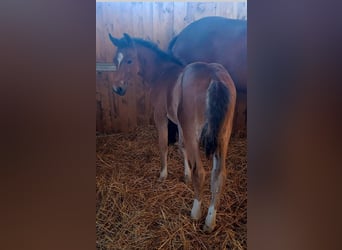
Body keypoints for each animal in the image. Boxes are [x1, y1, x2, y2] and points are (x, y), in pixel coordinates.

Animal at [109, 33, 235, 232]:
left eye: (129, 60)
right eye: (115, 60)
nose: (117, 88)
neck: (162, 73)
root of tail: (215, 77)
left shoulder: (161, 116)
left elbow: (163, 144)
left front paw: (163, 175)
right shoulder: (180, 123)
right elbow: (181, 147)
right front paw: (185, 176)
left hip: (194, 132)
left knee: (201, 172)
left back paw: (195, 213)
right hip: (223, 136)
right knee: (219, 175)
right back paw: (210, 221)